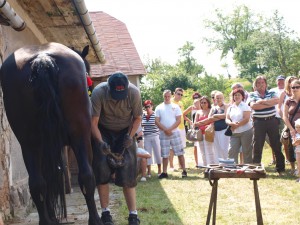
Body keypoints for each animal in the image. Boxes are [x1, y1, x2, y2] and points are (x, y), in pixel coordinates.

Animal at [0, 42, 102, 225]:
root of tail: (42, 58)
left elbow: (47, 180)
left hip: (30, 144)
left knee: (37, 183)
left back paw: (46, 220)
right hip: (80, 137)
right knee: (87, 176)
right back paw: (96, 219)